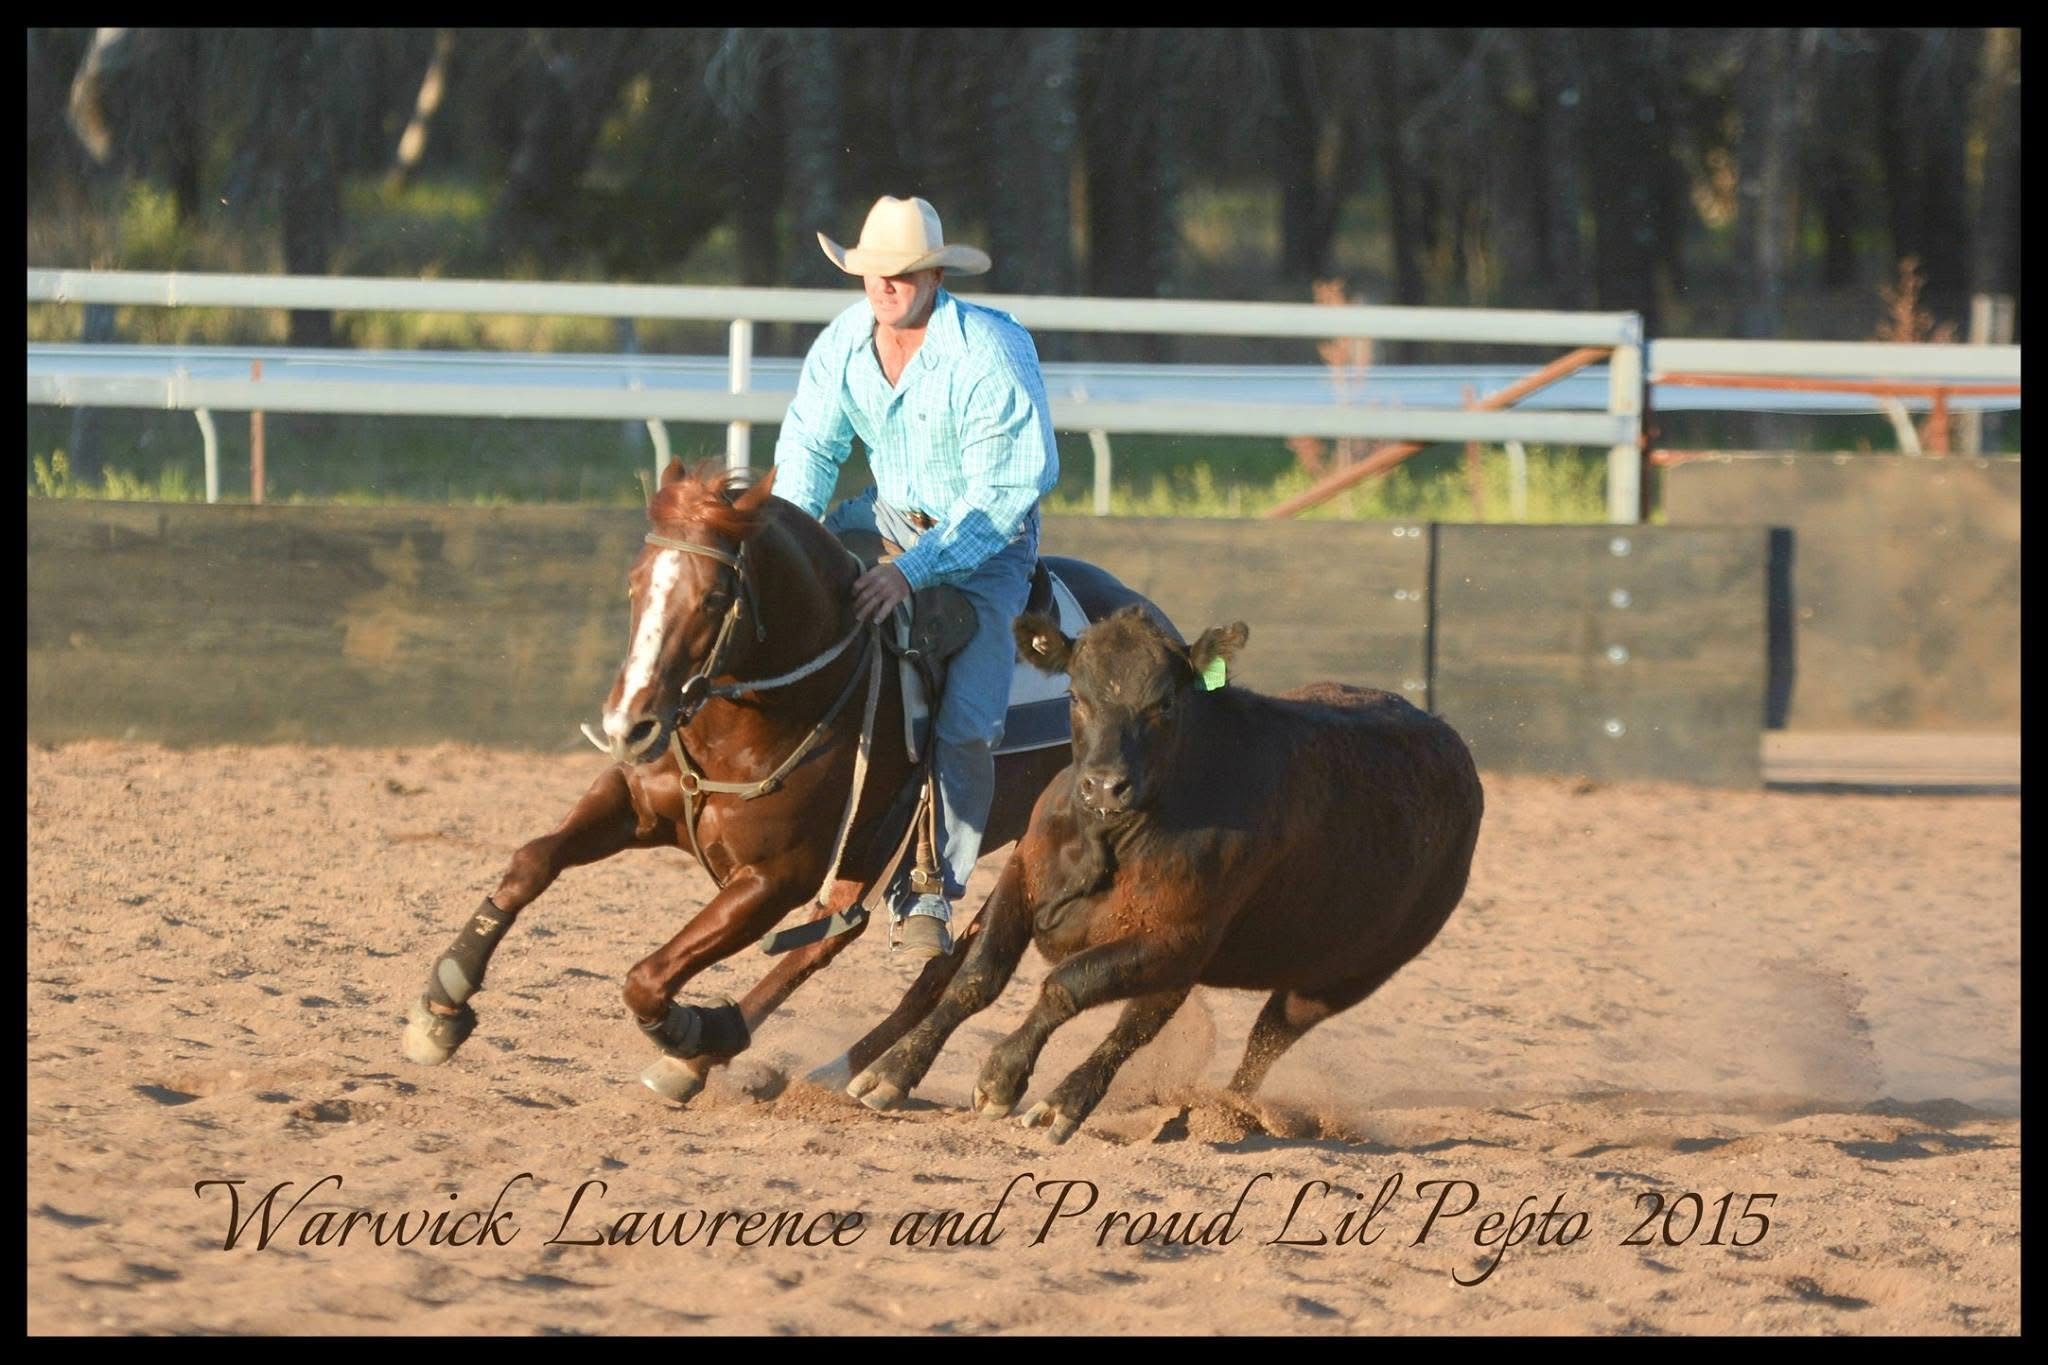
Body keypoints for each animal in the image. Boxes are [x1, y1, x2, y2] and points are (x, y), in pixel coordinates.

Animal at [400, 459, 1171, 1103]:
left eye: (714, 598)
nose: (627, 724)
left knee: (924, 962)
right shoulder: (635, 803)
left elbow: (648, 977)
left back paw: (789, 1060)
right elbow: (532, 860)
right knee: (866, 948)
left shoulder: (777, 877)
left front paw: (690, 1030)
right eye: (636, 582)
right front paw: (443, 1001)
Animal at [845, 603, 1485, 1141]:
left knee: (1262, 1038)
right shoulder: (1023, 879)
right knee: (1156, 1023)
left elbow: (1066, 985)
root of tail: (1450, 744)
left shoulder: (1172, 937)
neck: (1111, 838)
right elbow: (977, 976)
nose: (1105, 785)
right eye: (1075, 695)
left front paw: (1003, 1079)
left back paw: (1176, 1110)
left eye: (1164, 705)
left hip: (1338, 978)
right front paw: (891, 1073)